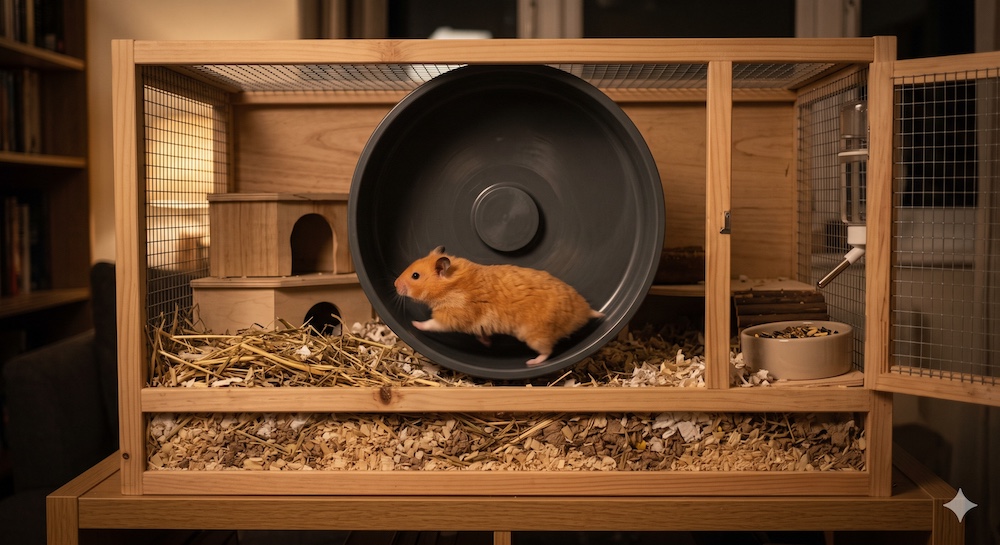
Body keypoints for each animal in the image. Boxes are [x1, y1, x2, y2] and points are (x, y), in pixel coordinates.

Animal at [394, 246, 603, 366]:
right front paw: (488, 344)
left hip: (536, 335)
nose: (394, 284)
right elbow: (480, 334)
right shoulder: (475, 325)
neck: (451, 285)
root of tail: (584, 312)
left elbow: (432, 323)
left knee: (547, 351)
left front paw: (414, 324)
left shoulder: (453, 315)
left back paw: (531, 363)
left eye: (415, 276)